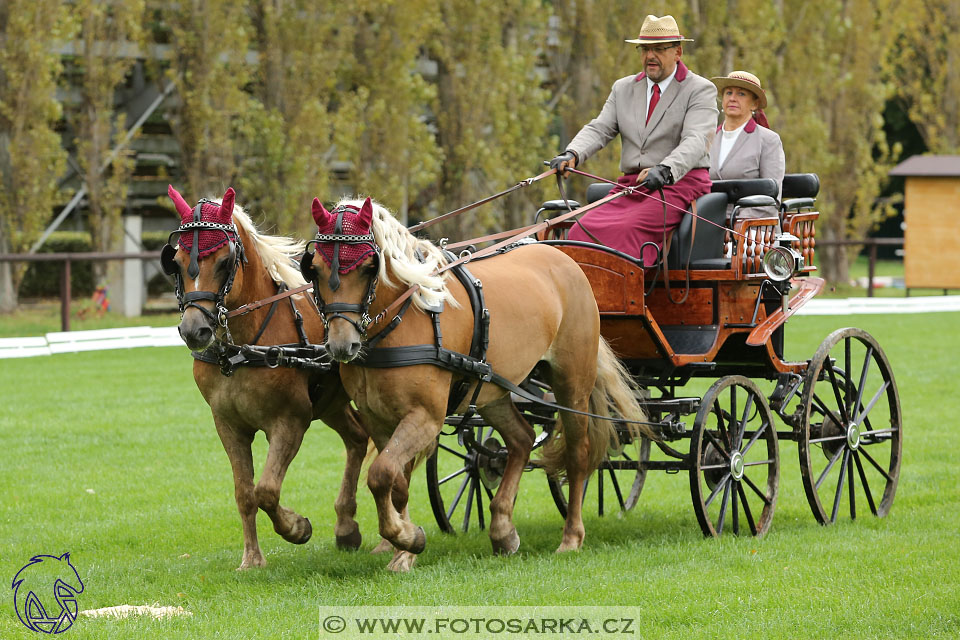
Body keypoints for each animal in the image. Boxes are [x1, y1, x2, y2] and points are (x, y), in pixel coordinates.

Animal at [163, 186, 370, 568]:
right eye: (178, 262)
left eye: (224, 262)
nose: (194, 330)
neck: (243, 349)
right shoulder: (228, 425)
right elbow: (245, 493)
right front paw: (252, 559)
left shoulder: (290, 421)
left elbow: (267, 490)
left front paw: (297, 528)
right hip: (331, 403)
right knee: (358, 438)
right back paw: (347, 526)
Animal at [304, 196, 648, 568]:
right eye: (315, 270)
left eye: (369, 267)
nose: (342, 345)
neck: (403, 318)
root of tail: (563, 259)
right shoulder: (377, 418)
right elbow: (396, 482)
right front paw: (405, 545)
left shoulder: (426, 417)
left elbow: (382, 474)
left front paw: (405, 540)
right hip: (493, 391)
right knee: (522, 439)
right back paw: (502, 530)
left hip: (572, 385)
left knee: (577, 455)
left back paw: (571, 537)